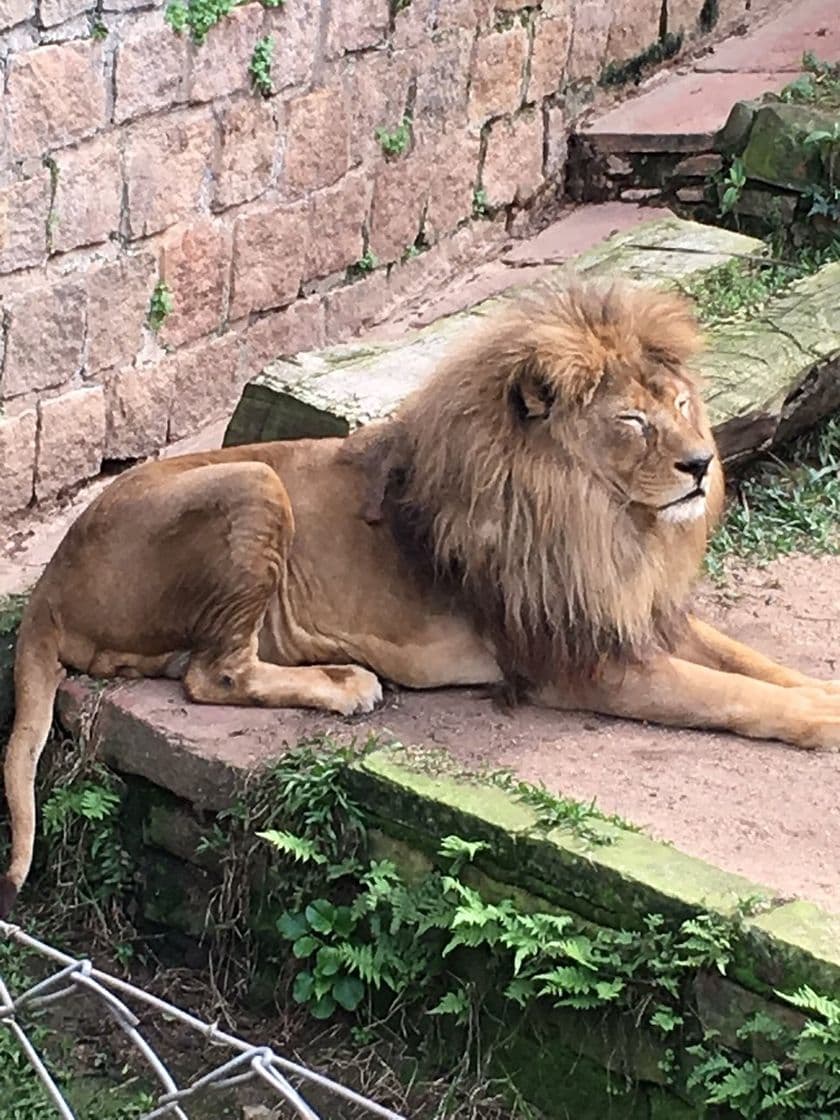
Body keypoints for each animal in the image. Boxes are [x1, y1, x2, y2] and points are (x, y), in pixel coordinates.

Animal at [1, 280, 840, 918]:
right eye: (633, 420)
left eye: (682, 404)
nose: (702, 464)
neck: (607, 523)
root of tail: (50, 580)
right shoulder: (581, 663)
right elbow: (734, 697)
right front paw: (823, 721)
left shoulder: (637, 617)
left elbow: (755, 667)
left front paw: (824, 691)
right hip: (255, 481)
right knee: (213, 674)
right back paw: (345, 684)